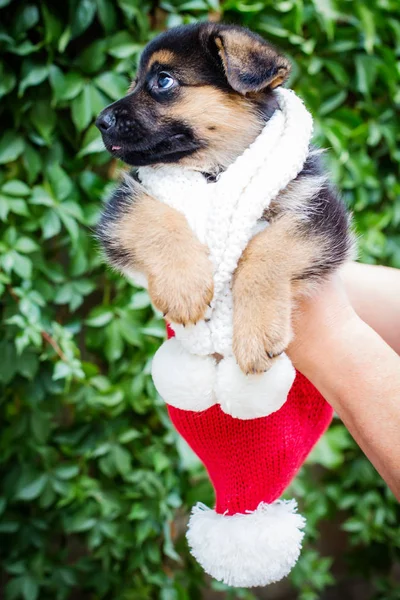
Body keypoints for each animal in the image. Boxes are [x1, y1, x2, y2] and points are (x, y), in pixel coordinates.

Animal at [96, 23, 354, 376]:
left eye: (163, 81)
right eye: (133, 83)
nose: (100, 122)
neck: (214, 172)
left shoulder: (320, 212)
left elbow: (267, 248)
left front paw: (257, 332)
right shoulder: (123, 205)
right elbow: (151, 217)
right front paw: (183, 287)